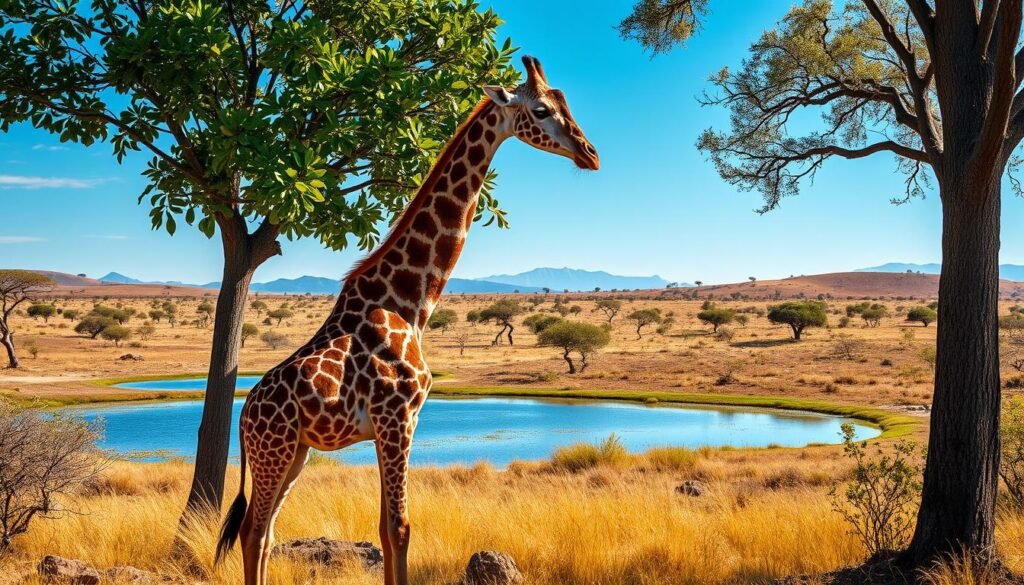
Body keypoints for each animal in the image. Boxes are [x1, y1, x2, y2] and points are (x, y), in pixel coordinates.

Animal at [214, 55, 599, 585]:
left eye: (566, 104)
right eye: (540, 110)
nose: (590, 153)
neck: (410, 302)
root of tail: (243, 416)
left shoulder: (392, 423)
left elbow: (384, 526)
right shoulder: (399, 416)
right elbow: (400, 527)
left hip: (295, 453)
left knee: (265, 532)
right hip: (274, 451)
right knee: (253, 530)